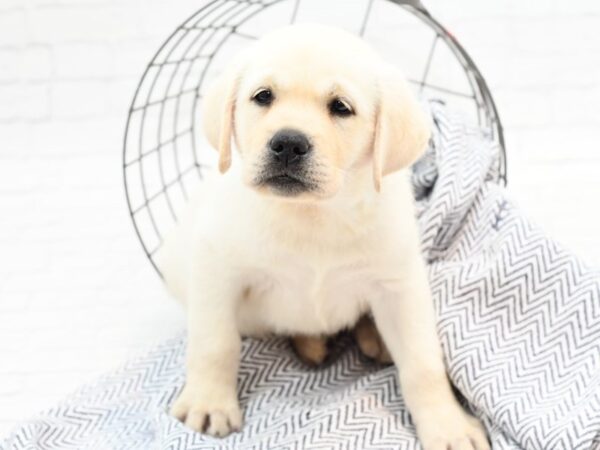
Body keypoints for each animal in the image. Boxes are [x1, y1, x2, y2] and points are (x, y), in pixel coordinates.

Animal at [158, 23, 488, 450]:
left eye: (341, 107)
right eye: (263, 97)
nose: (288, 143)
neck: (313, 214)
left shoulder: (400, 284)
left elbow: (422, 363)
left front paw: (447, 426)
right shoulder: (216, 268)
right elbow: (214, 342)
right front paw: (209, 402)